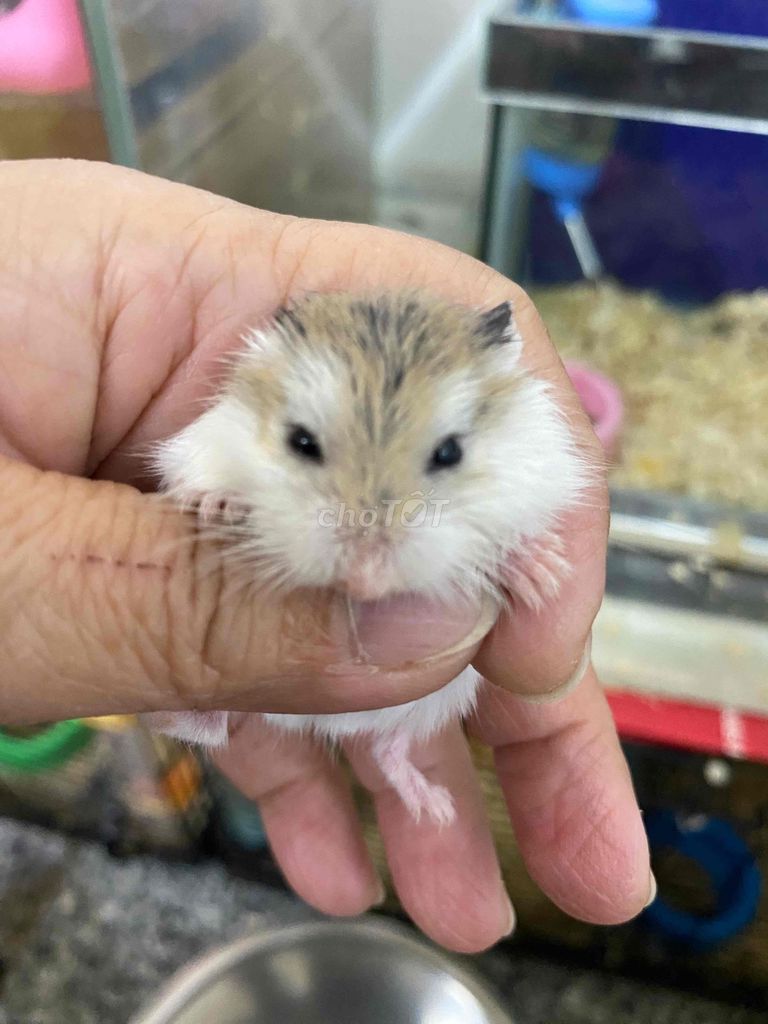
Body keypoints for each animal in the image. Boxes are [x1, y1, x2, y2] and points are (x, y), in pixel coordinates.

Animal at [145, 292, 588, 825]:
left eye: (450, 452)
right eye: (301, 442)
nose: (363, 582)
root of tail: (327, 725)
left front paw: (543, 574)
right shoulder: (200, 443)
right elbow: (195, 477)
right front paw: (215, 503)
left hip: (432, 702)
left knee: (385, 749)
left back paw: (436, 810)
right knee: (207, 727)